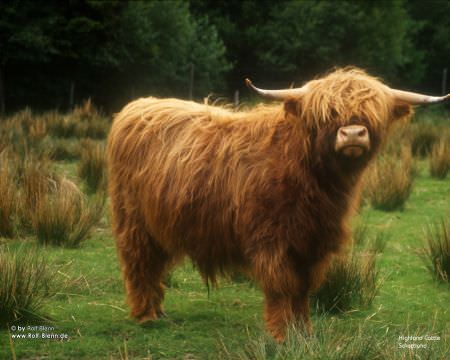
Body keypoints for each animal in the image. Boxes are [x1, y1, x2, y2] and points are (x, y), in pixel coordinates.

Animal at [107, 67, 448, 340]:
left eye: (374, 111)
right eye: (325, 113)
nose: (353, 133)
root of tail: (138, 105)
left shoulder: (313, 243)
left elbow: (303, 288)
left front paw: (304, 331)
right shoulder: (272, 240)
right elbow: (283, 286)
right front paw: (282, 334)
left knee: (153, 264)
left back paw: (157, 310)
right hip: (132, 219)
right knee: (138, 262)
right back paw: (145, 315)